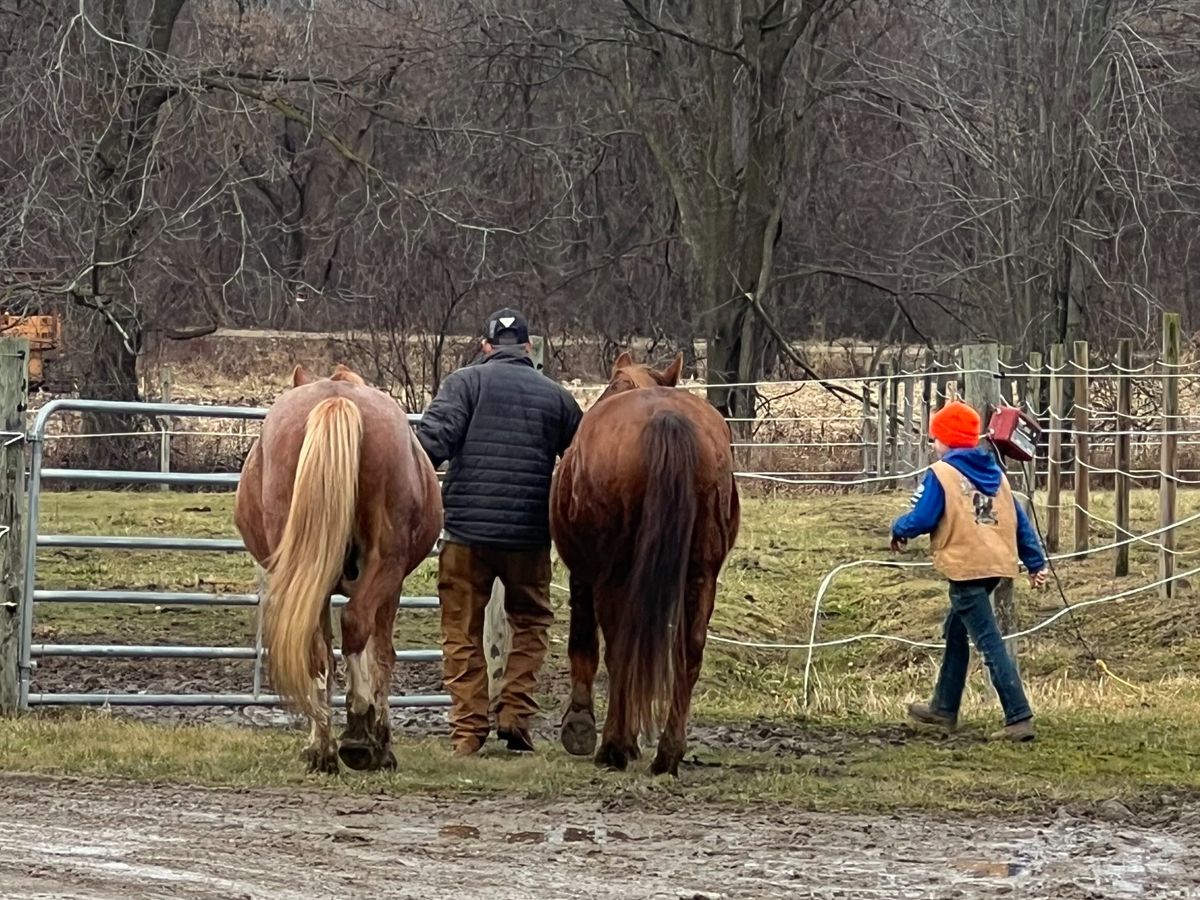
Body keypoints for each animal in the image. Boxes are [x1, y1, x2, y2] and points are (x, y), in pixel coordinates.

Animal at [234, 363, 443, 774]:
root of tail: (337, 400)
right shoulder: (392, 590)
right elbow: (382, 655)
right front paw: (381, 738)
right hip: (384, 567)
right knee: (356, 624)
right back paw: (360, 734)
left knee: (316, 649)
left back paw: (325, 749)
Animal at [549, 351, 740, 776]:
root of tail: (666, 420)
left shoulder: (584, 576)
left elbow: (584, 645)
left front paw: (580, 726)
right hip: (701, 575)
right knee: (688, 652)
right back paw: (668, 752)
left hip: (613, 577)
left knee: (620, 649)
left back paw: (614, 746)